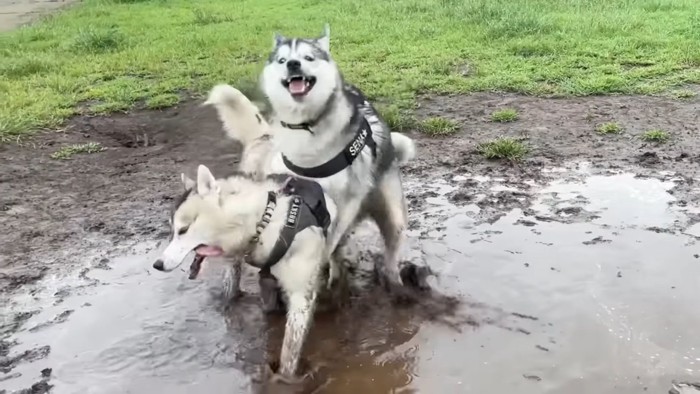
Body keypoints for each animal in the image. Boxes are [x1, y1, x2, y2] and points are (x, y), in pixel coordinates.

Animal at [154, 165, 340, 378]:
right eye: (172, 230)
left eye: (183, 230)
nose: (158, 264)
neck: (263, 224)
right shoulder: (245, 270)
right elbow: (233, 295)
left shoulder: (301, 297)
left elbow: (290, 352)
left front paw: (285, 379)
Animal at [258, 22, 422, 292]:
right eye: (282, 60)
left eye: (308, 57)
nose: (293, 64)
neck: (306, 126)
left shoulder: (347, 199)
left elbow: (328, 241)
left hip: (391, 213)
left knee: (389, 249)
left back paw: (393, 282)